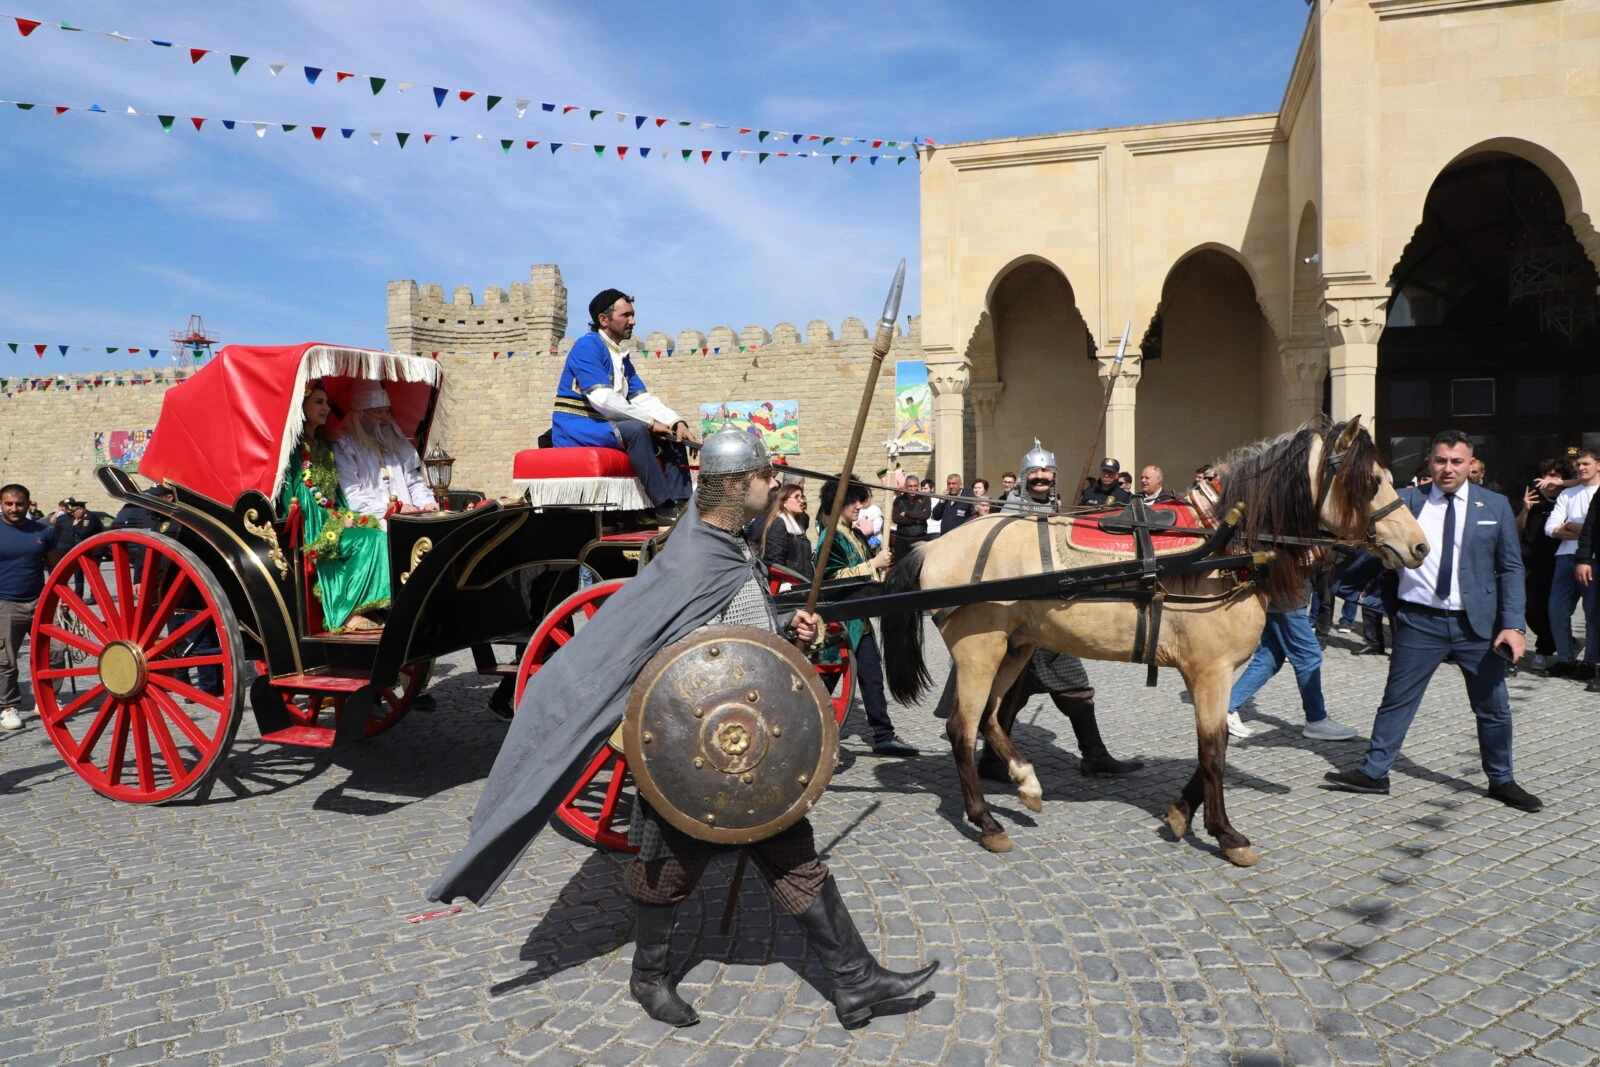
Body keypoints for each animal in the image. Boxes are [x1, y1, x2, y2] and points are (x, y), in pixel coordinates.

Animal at [889, 415, 1427, 870]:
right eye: (1371, 481)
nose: (1419, 546)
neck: (1225, 545)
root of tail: (934, 547)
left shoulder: (1212, 674)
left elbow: (1215, 745)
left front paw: (1182, 811)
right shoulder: (1209, 671)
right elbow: (1213, 751)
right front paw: (1226, 833)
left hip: (1014, 648)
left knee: (993, 718)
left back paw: (1026, 781)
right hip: (979, 652)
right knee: (963, 727)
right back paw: (986, 820)